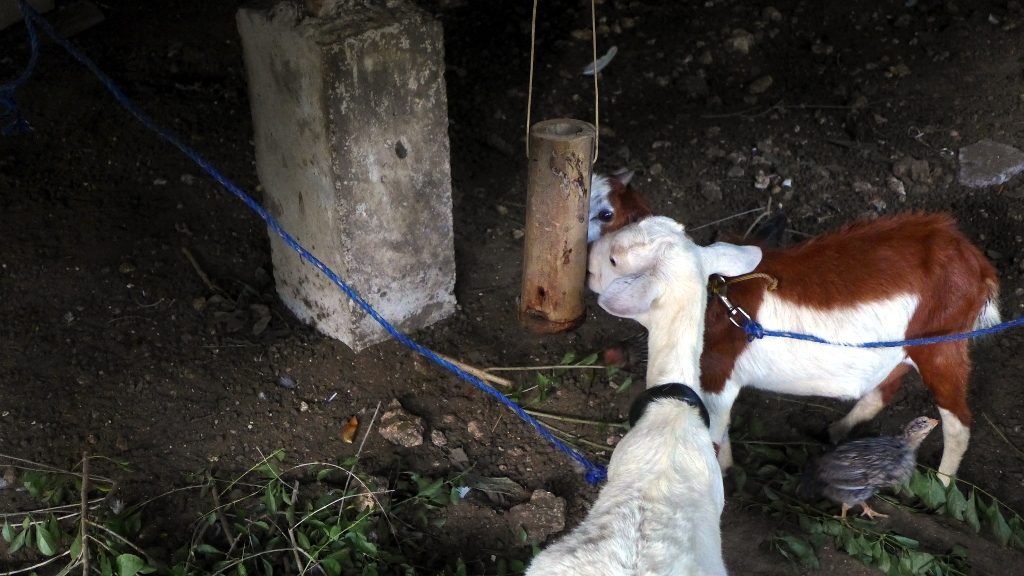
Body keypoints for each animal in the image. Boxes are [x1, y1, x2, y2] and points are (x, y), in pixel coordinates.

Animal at [587, 213, 999, 483]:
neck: (715, 300)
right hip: (903, 346)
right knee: (884, 388)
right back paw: (835, 431)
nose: (588, 260)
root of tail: (976, 265)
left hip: (942, 344)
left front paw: (725, 471)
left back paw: (942, 484)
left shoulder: (717, 374)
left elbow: (717, 429)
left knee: (959, 420)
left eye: (614, 260)